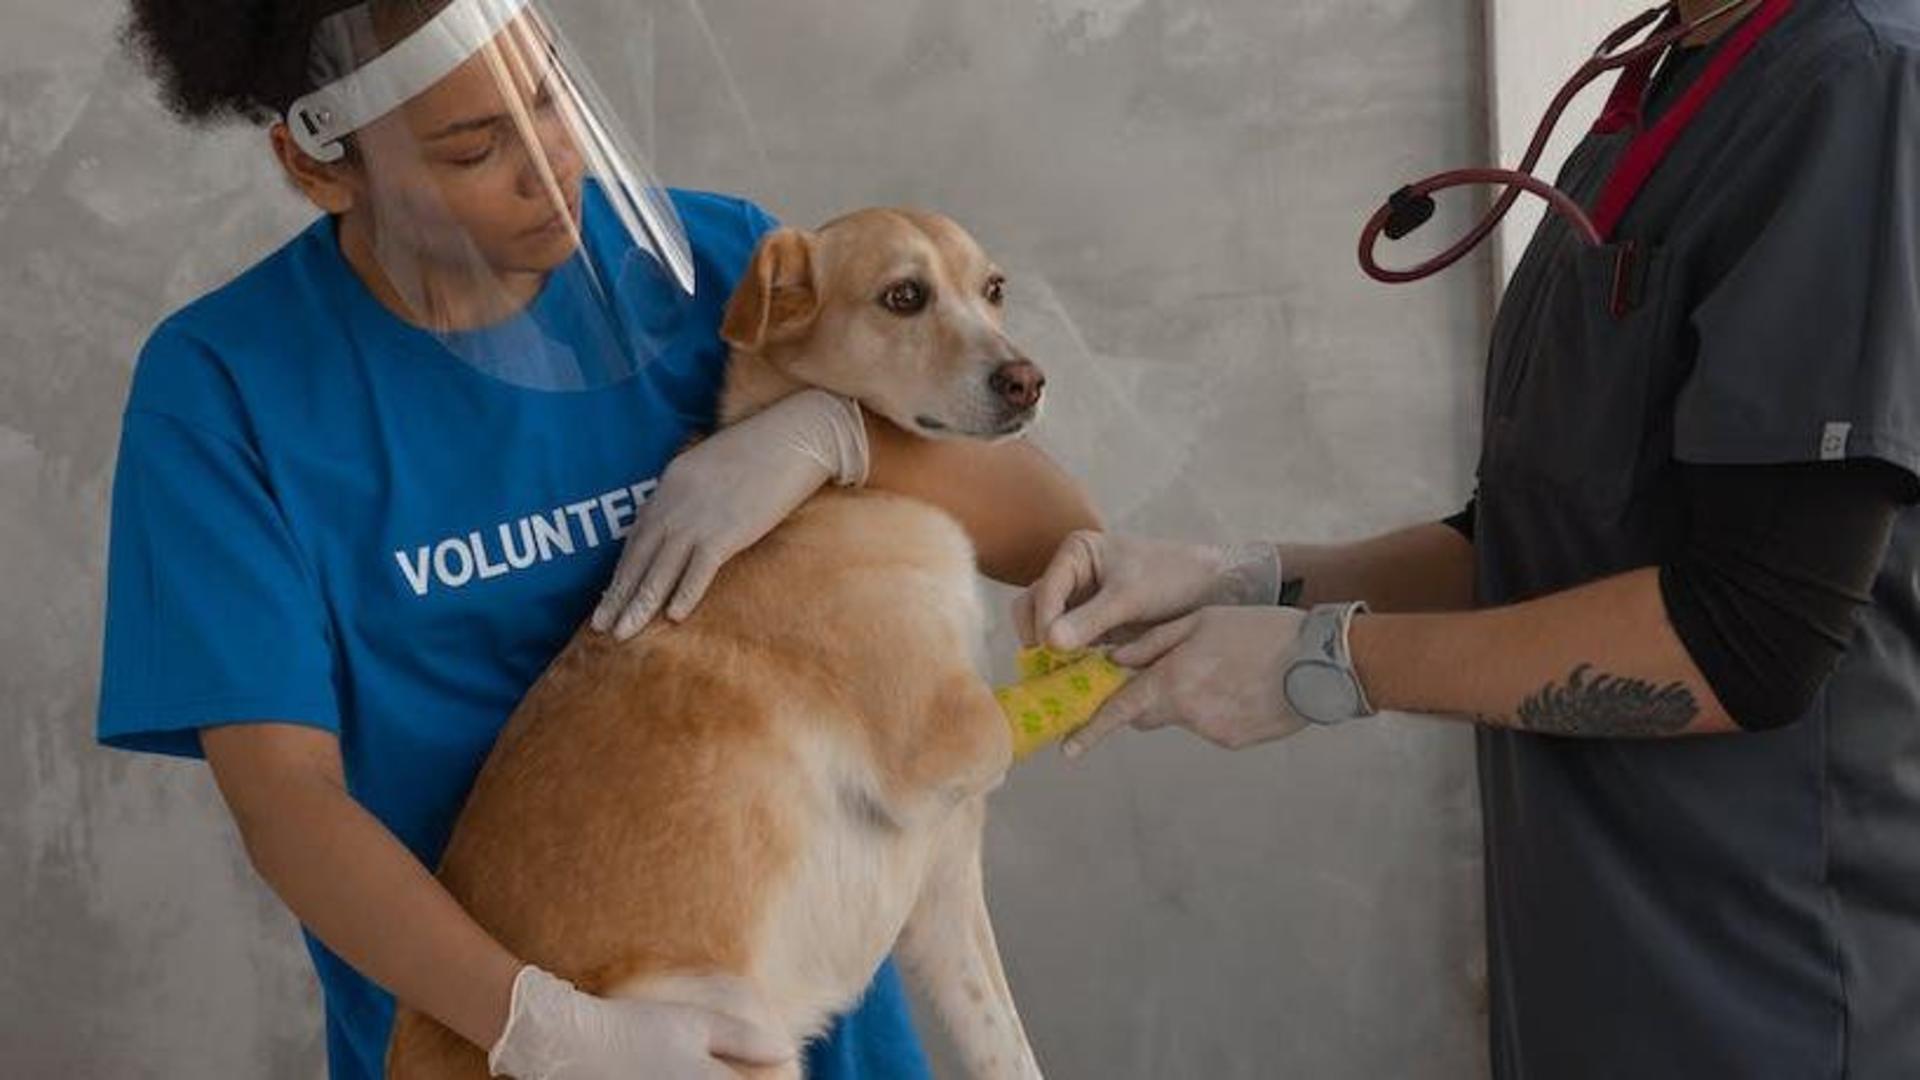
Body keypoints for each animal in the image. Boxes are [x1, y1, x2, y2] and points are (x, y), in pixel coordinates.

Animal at [385, 205, 1052, 1068]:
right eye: (903, 296)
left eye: (994, 289)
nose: (1027, 380)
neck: (832, 496)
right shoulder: (938, 740)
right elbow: (997, 731)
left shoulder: (944, 893)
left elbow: (1008, 1049)